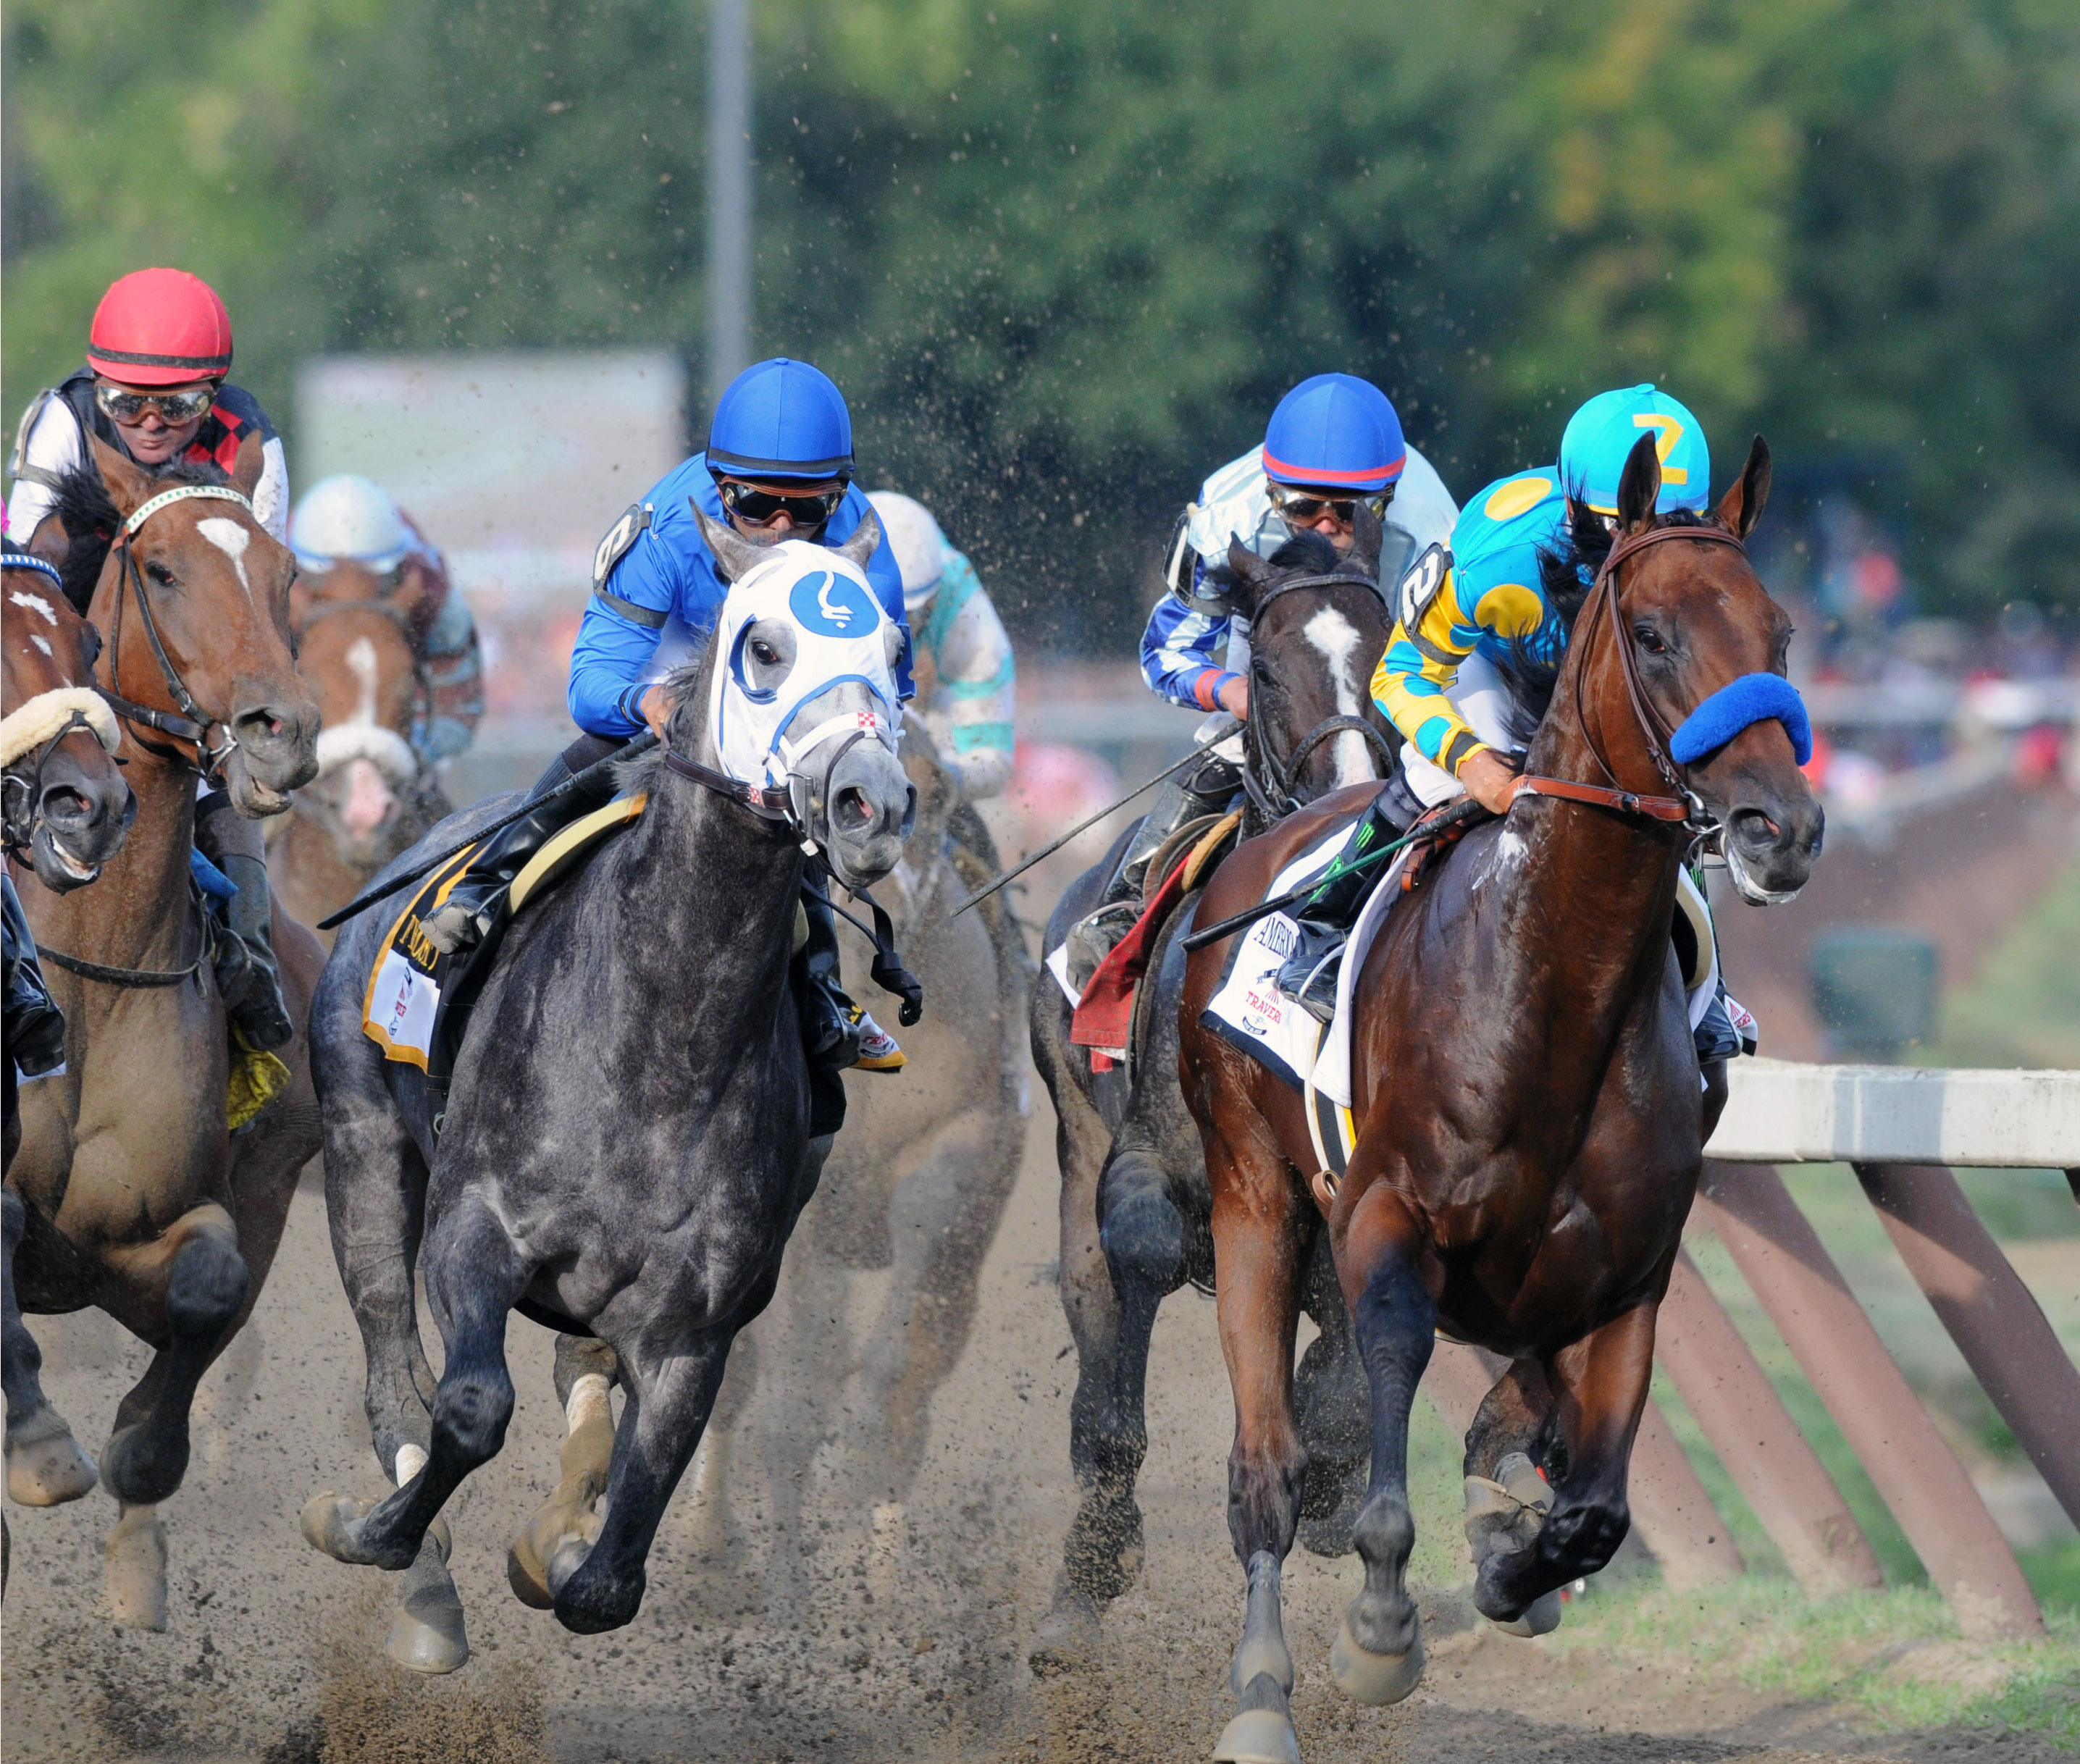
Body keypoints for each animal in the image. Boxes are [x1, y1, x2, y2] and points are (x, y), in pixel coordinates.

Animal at [9, 434, 324, 1631]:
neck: (87, 980)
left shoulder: (190, 1227)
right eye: (164, 572)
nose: (283, 731)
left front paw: (135, 1565)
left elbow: (206, 1295)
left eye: (287, 577)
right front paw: (42, 1452)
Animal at [303, 516, 923, 1664]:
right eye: (763, 647)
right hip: (359, 1139)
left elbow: (608, 1579)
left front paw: (561, 1551)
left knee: (575, 1379)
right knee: (389, 1355)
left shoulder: (693, 1326)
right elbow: (469, 1406)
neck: (664, 1047)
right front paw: (373, 1532)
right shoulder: (477, 1225)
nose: (872, 802)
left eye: (895, 649)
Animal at [1023, 520, 1397, 1664]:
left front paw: (1326, 1476)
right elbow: (1144, 1247)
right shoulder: (1148, 1151)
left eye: (1388, 654)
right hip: (1073, 1140)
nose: (1350, 798)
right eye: (1264, 665)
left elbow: (1348, 1369)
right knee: (1099, 1301)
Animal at [1181, 430, 1830, 1764]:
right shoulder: (1386, 1222)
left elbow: (1592, 1511)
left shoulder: (1627, 1279)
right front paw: (1381, 1635)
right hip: (1251, 1196)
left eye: (1780, 631)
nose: (1778, 827)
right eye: (1652, 635)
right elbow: (1380, 1443)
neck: (1551, 994)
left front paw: (1508, 1560)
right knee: (1265, 1468)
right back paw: (1262, 1691)